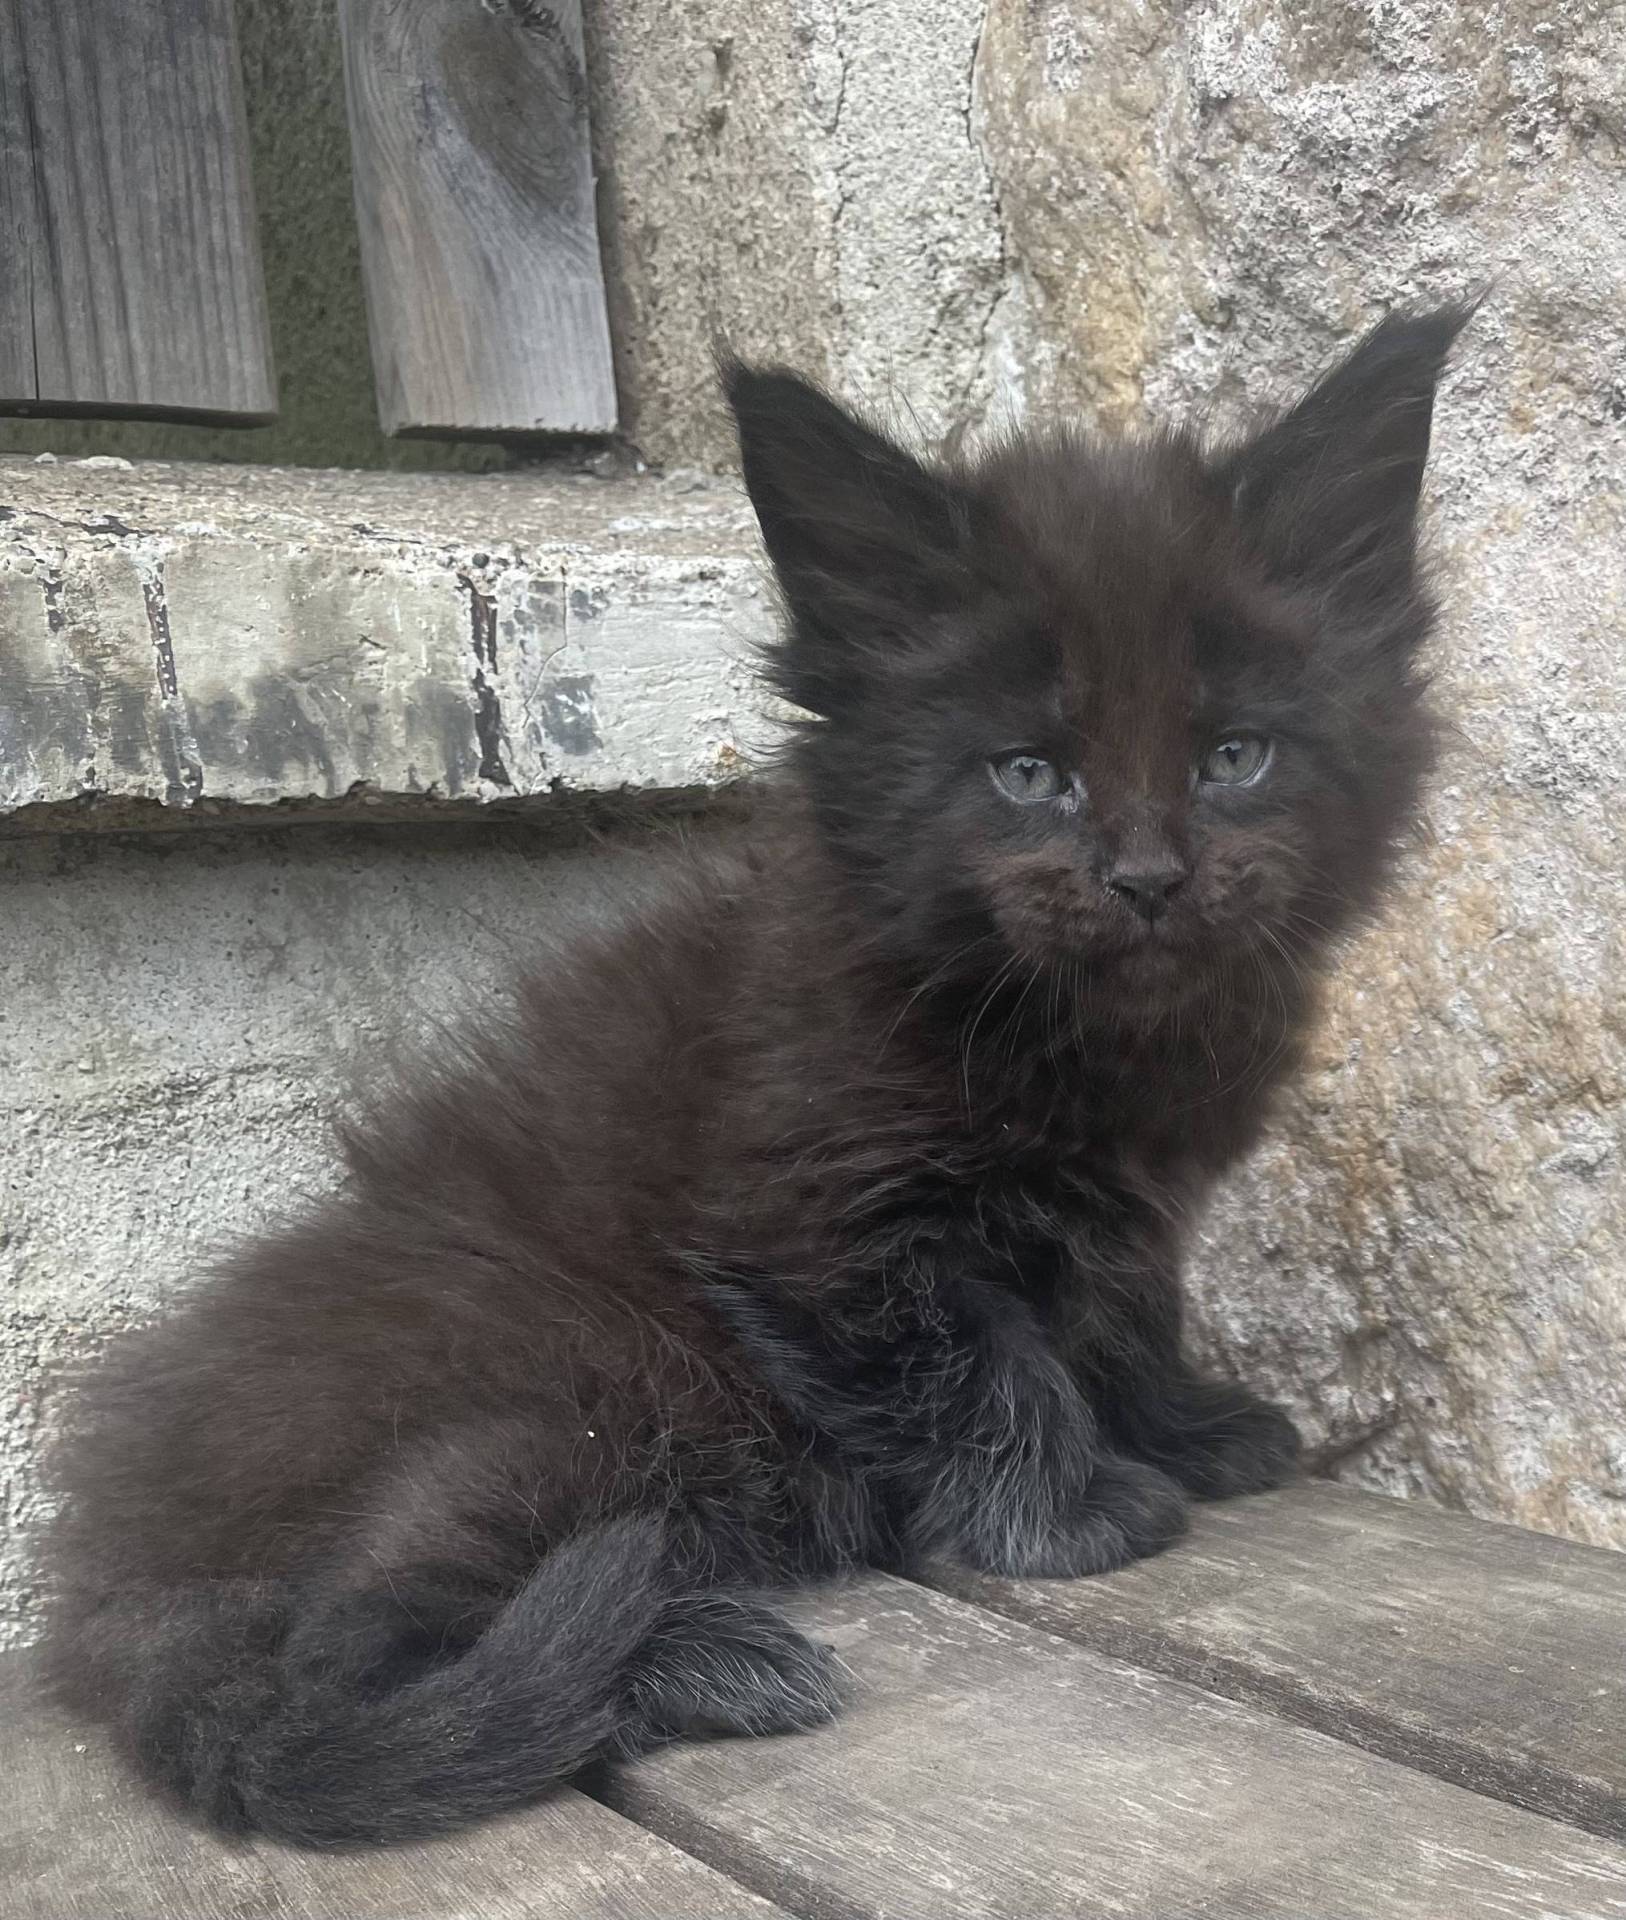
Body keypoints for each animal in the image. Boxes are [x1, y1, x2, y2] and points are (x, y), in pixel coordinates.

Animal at [44, 307, 1466, 1850]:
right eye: (1028, 773)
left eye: (1233, 757)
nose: (1147, 880)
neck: (1075, 1035)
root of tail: (118, 1587)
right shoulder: (811, 1216)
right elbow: (977, 1355)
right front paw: (1069, 1511)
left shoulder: (1130, 1210)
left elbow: (1124, 1311)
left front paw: (1187, 1424)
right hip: (566, 1391)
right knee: (354, 1654)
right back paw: (698, 1656)